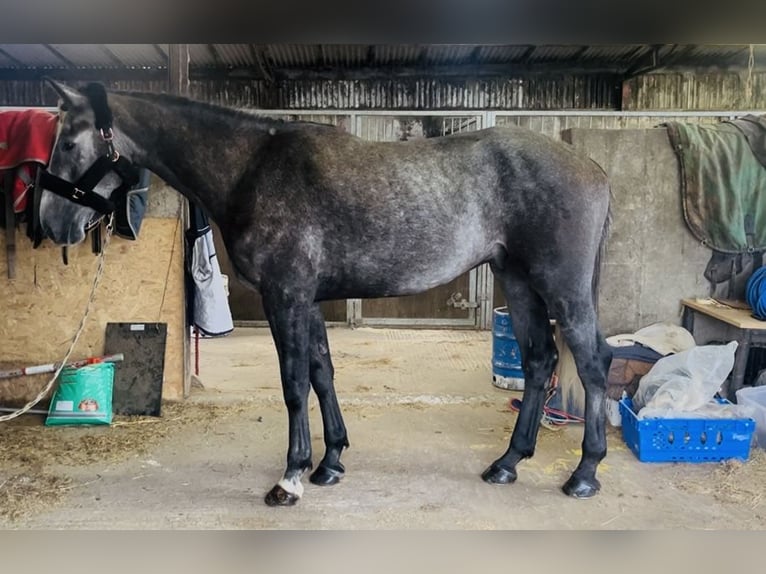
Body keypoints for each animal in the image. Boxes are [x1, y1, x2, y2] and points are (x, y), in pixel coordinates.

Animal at [39, 79, 613, 506]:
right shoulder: (306, 299)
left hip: (561, 287)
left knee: (591, 363)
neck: (251, 167)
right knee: (540, 361)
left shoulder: (285, 295)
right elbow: (322, 372)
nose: (50, 223)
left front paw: (290, 478)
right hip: (517, 280)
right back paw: (507, 463)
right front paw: (330, 462)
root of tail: (593, 168)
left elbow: (294, 383)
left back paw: (584, 474)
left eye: (68, 143)